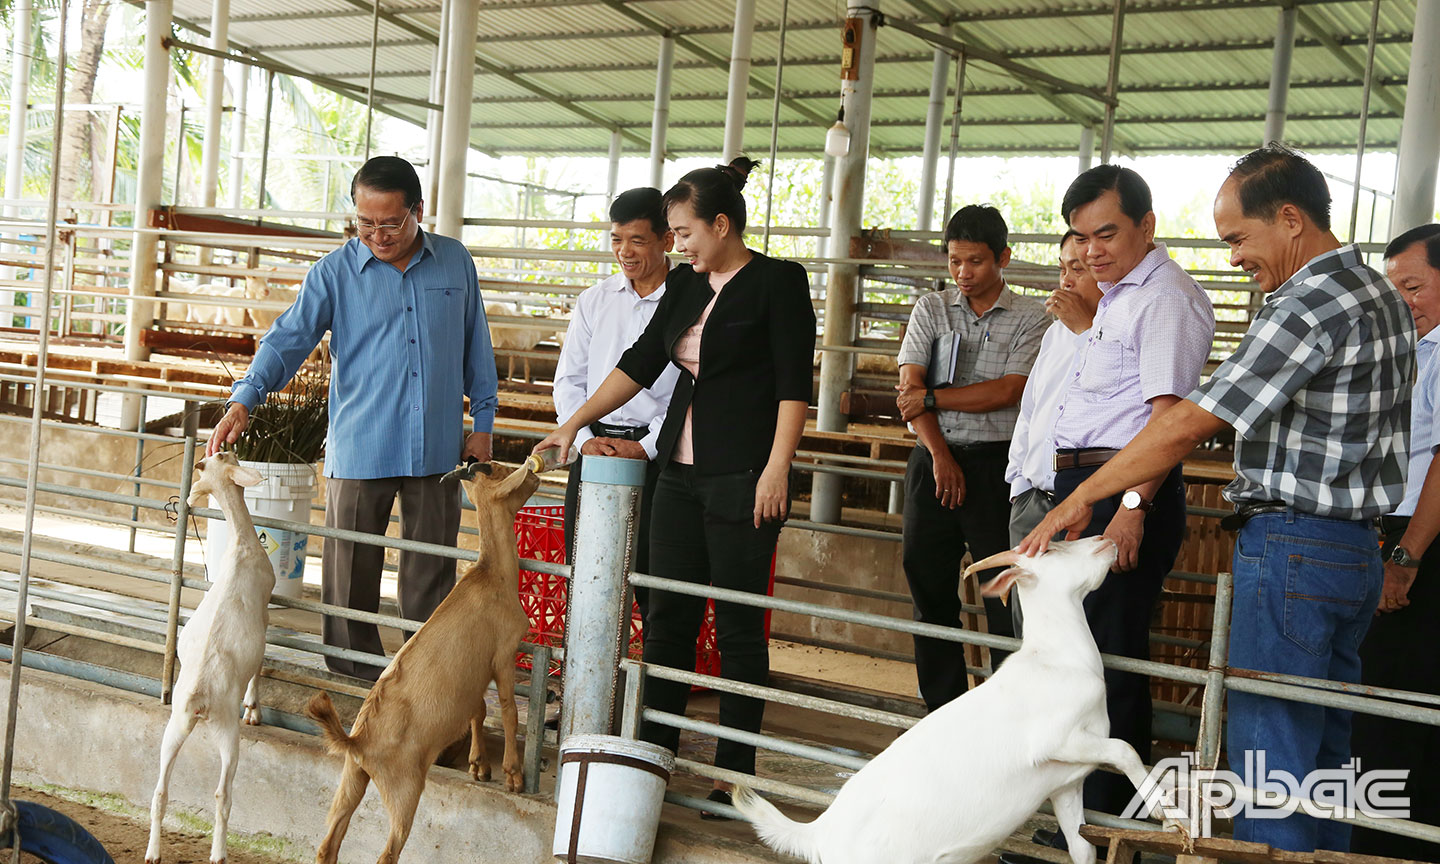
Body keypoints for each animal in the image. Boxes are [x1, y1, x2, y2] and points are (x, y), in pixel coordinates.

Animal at [147, 452, 276, 864]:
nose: (188, 498)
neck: (240, 543)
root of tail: (199, 697)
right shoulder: (264, 615)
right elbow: (260, 666)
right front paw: (254, 709)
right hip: (225, 729)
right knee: (222, 793)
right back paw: (219, 854)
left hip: (175, 724)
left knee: (160, 790)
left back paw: (153, 852)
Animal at [308, 463, 541, 858]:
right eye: (499, 471)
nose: (537, 475)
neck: (491, 574)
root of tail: (358, 743)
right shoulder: (503, 654)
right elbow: (508, 710)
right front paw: (512, 774)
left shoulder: (475, 675)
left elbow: (478, 709)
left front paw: (479, 766)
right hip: (403, 789)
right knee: (388, 852)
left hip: (351, 779)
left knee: (329, 845)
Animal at [737, 541, 1186, 864]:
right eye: (1053, 548)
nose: (1108, 540)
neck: (1058, 658)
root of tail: (817, 833)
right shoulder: (1055, 740)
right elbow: (1125, 749)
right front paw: (1168, 817)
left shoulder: (1066, 782)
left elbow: (1082, 847)